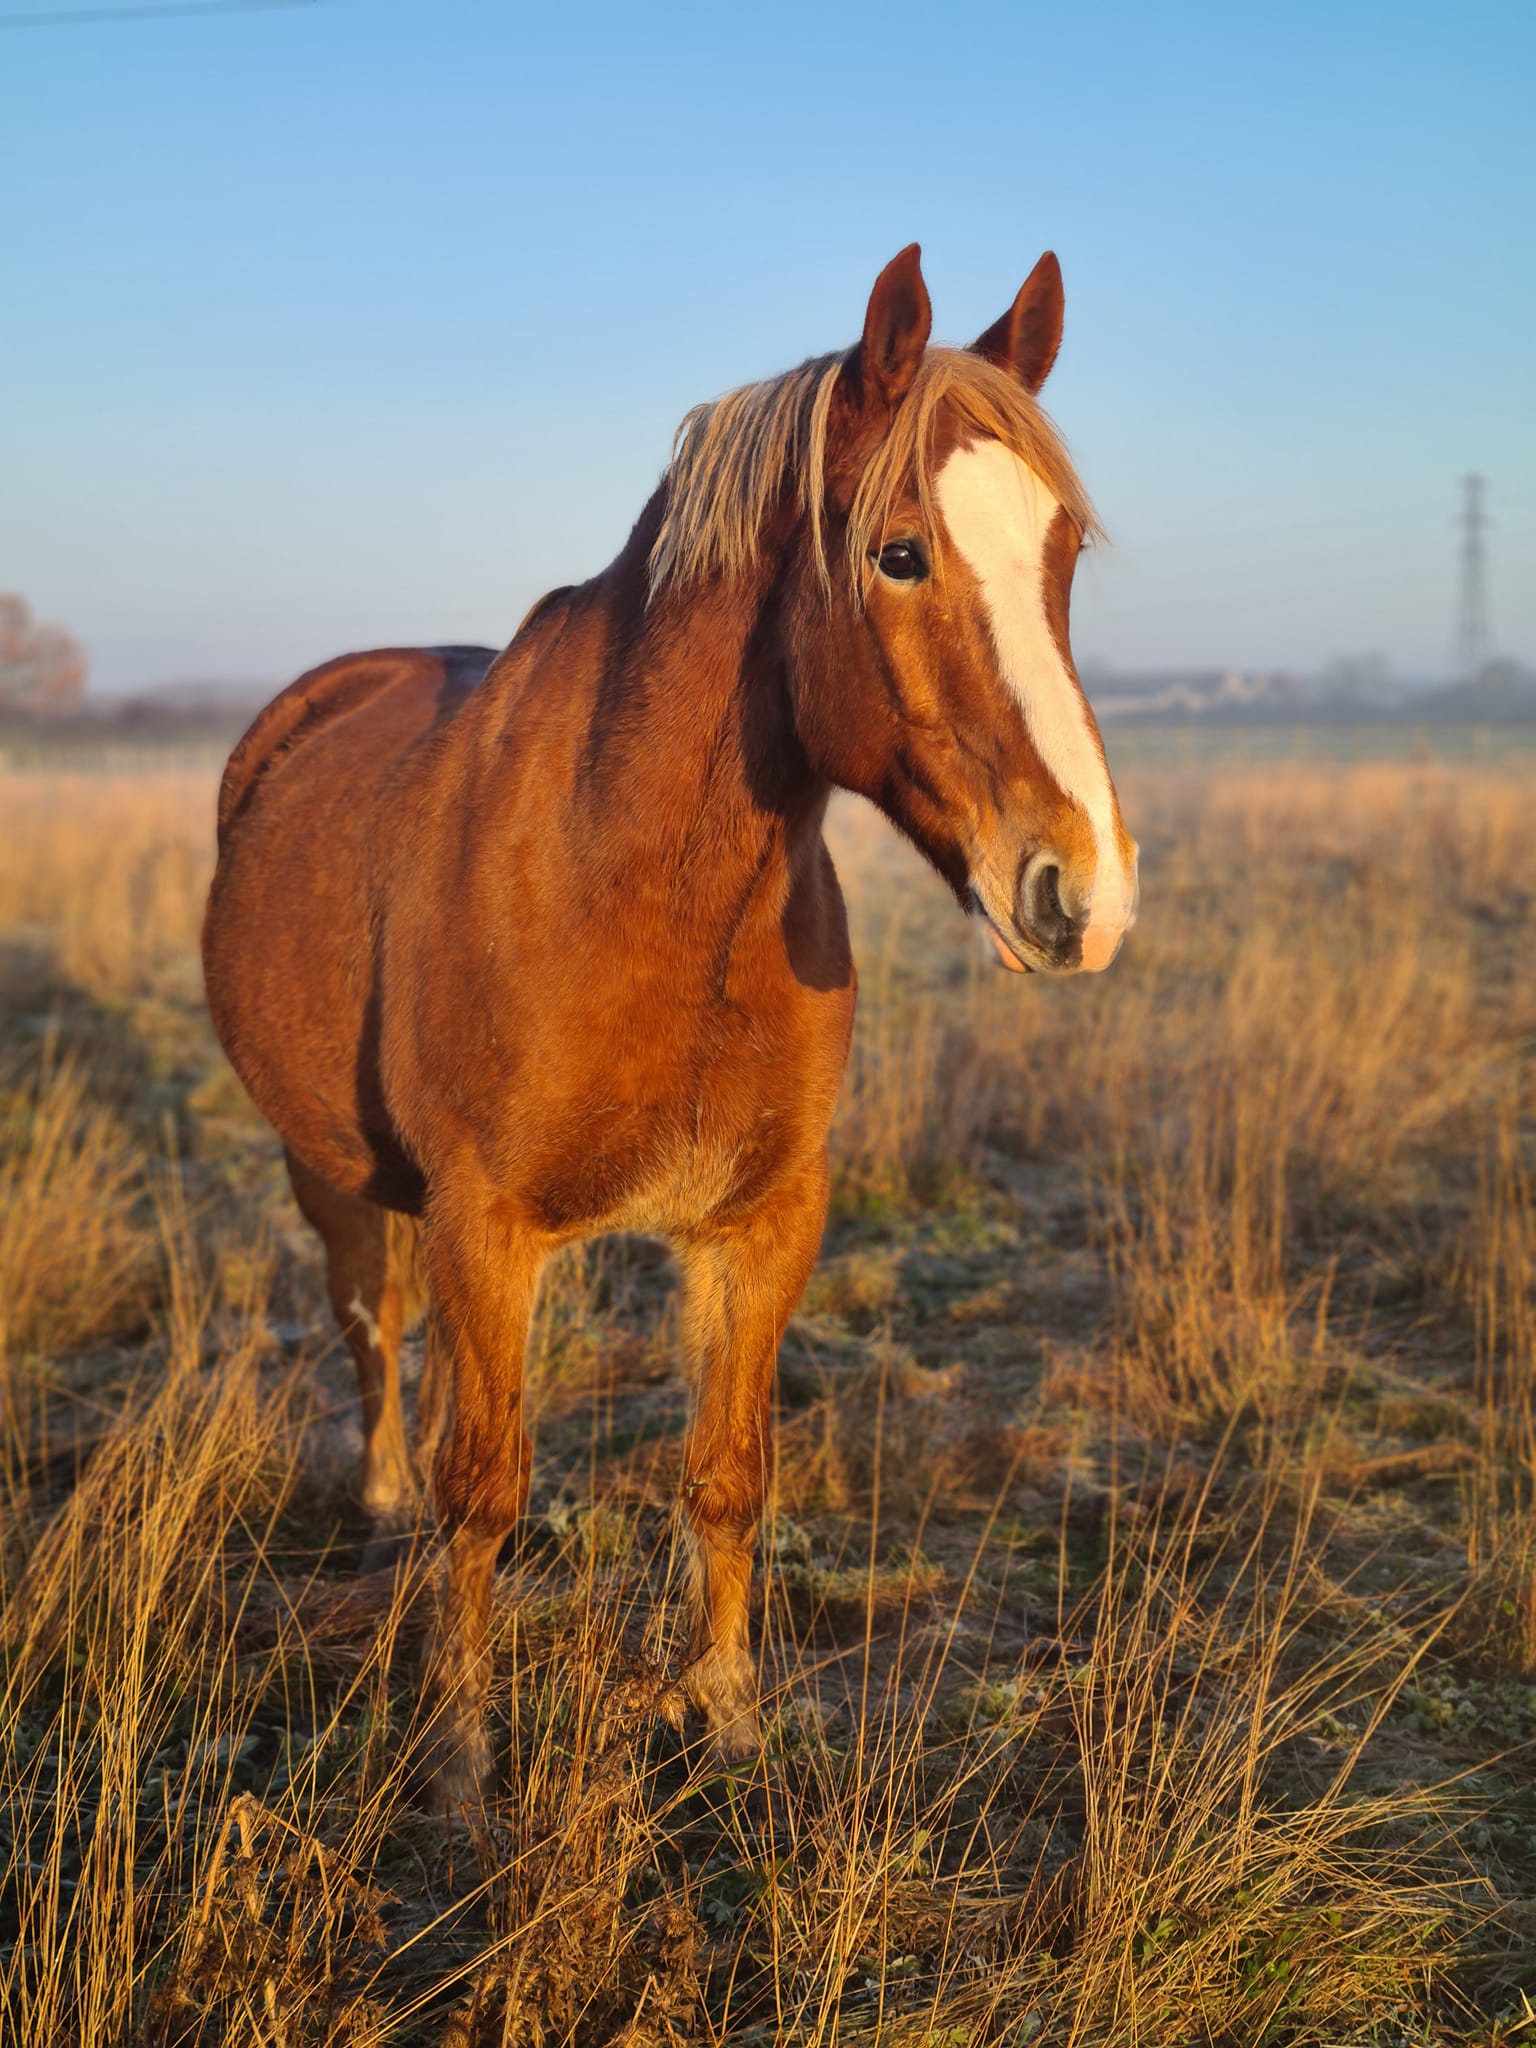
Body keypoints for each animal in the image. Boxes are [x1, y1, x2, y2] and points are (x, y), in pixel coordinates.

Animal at [202, 245, 1139, 1807]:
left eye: (1064, 554)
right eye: (899, 552)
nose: (1085, 893)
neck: (636, 884)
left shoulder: (759, 1222)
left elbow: (727, 1469)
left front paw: (730, 1714)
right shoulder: (483, 1222)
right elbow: (485, 1487)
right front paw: (460, 1755)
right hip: (323, 1165)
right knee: (371, 1329)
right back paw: (380, 1501)